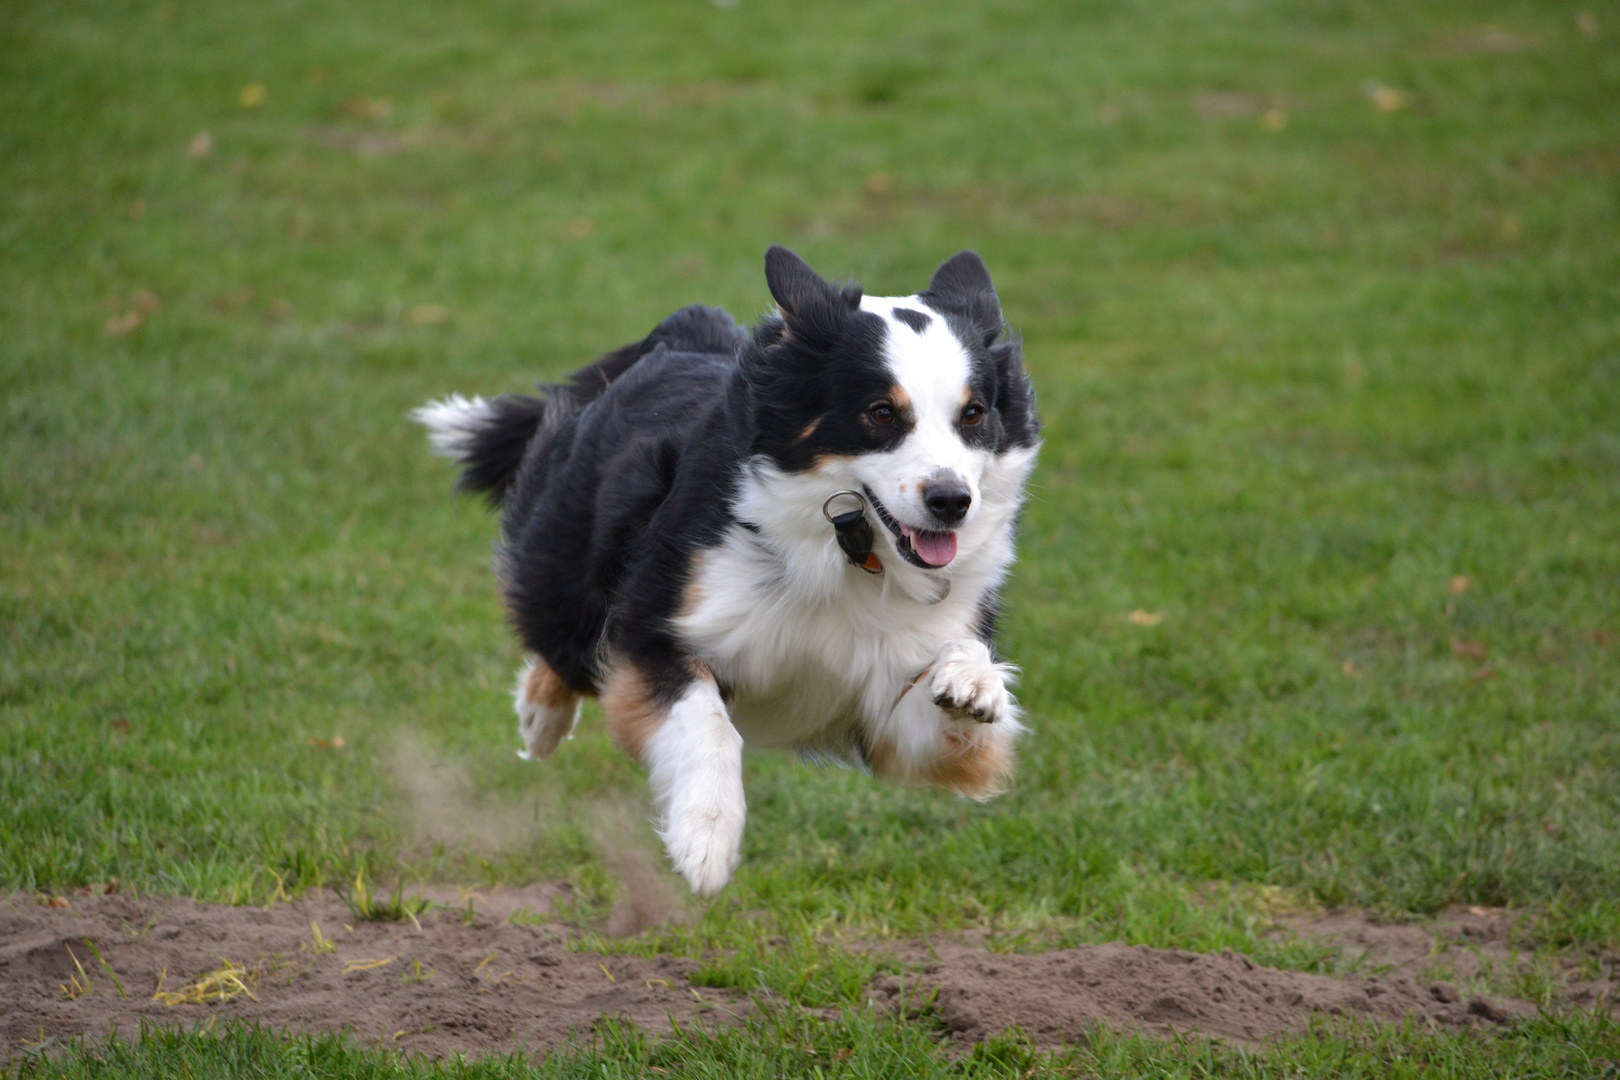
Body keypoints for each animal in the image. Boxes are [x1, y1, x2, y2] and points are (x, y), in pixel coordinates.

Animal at [414, 244, 1036, 893]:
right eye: (882, 413)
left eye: (974, 414)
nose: (952, 501)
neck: (850, 551)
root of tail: (686, 332)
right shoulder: (658, 625)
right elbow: (708, 721)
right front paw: (706, 837)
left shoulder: (889, 714)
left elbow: (951, 716)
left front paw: (973, 681)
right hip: (570, 573)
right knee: (561, 639)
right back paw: (540, 720)